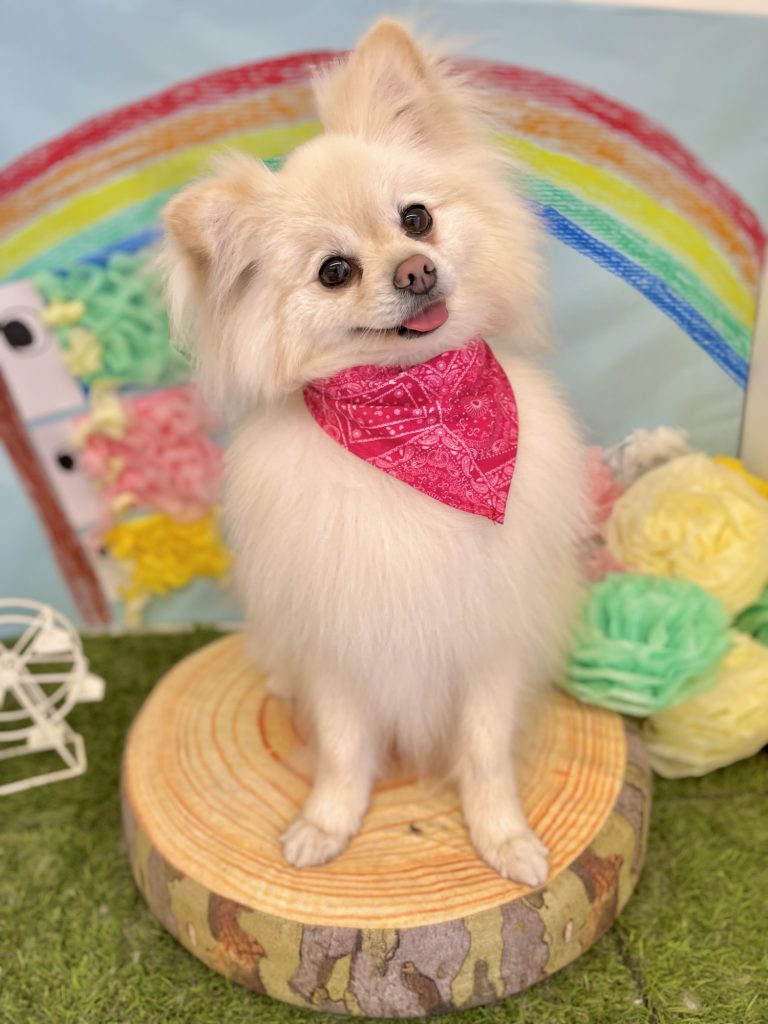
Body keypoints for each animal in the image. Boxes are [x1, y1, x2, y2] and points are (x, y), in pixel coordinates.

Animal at [161, 19, 586, 885]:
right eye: (335, 271)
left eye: (417, 219)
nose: (417, 270)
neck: (413, 423)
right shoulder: (341, 642)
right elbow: (344, 748)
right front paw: (327, 824)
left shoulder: (488, 633)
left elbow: (485, 750)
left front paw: (504, 839)